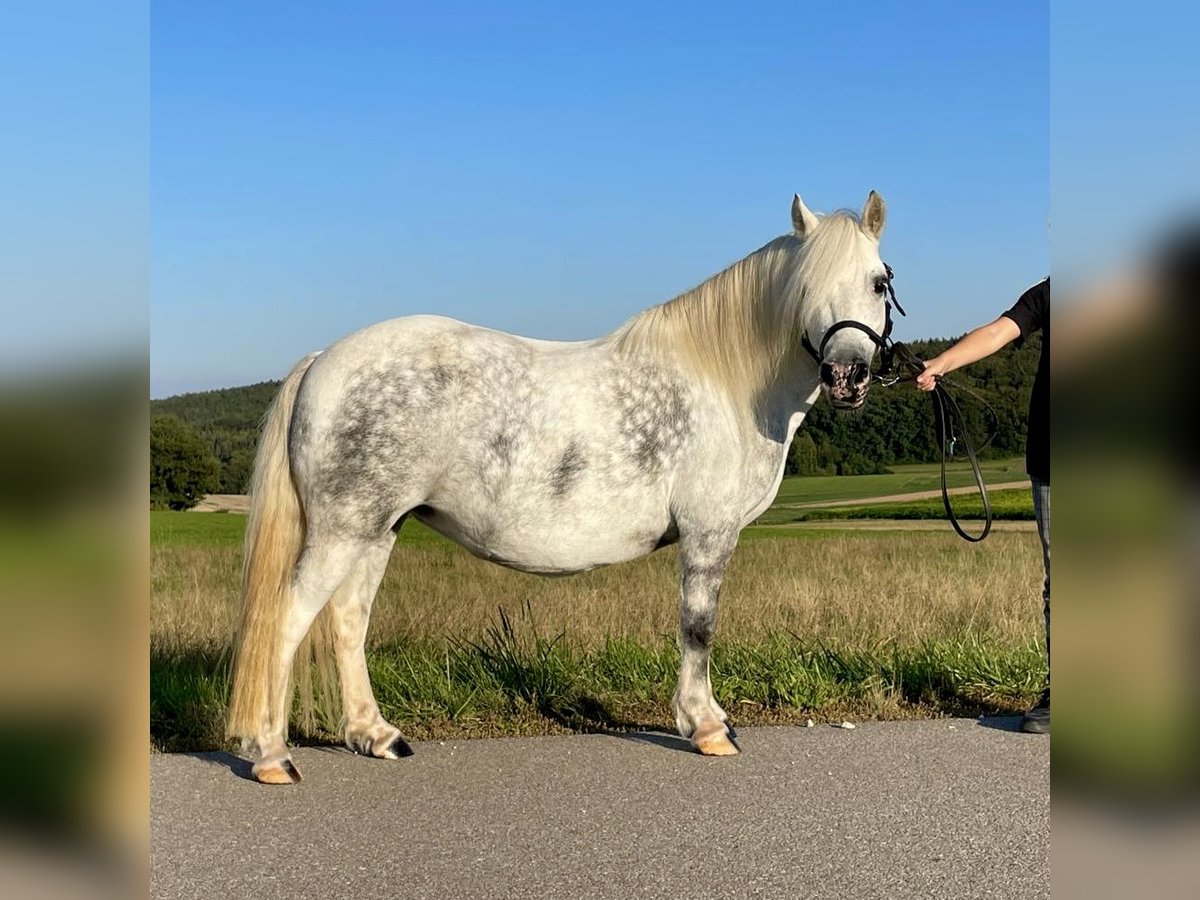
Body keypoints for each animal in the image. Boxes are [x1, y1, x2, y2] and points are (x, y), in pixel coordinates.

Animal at [231, 190, 892, 782]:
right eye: (805, 287)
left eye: (878, 282)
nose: (848, 374)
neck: (726, 385)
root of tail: (322, 361)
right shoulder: (709, 532)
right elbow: (698, 627)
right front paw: (707, 726)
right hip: (342, 531)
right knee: (284, 622)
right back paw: (271, 757)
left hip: (377, 529)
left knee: (348, 620)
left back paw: (376, 736)